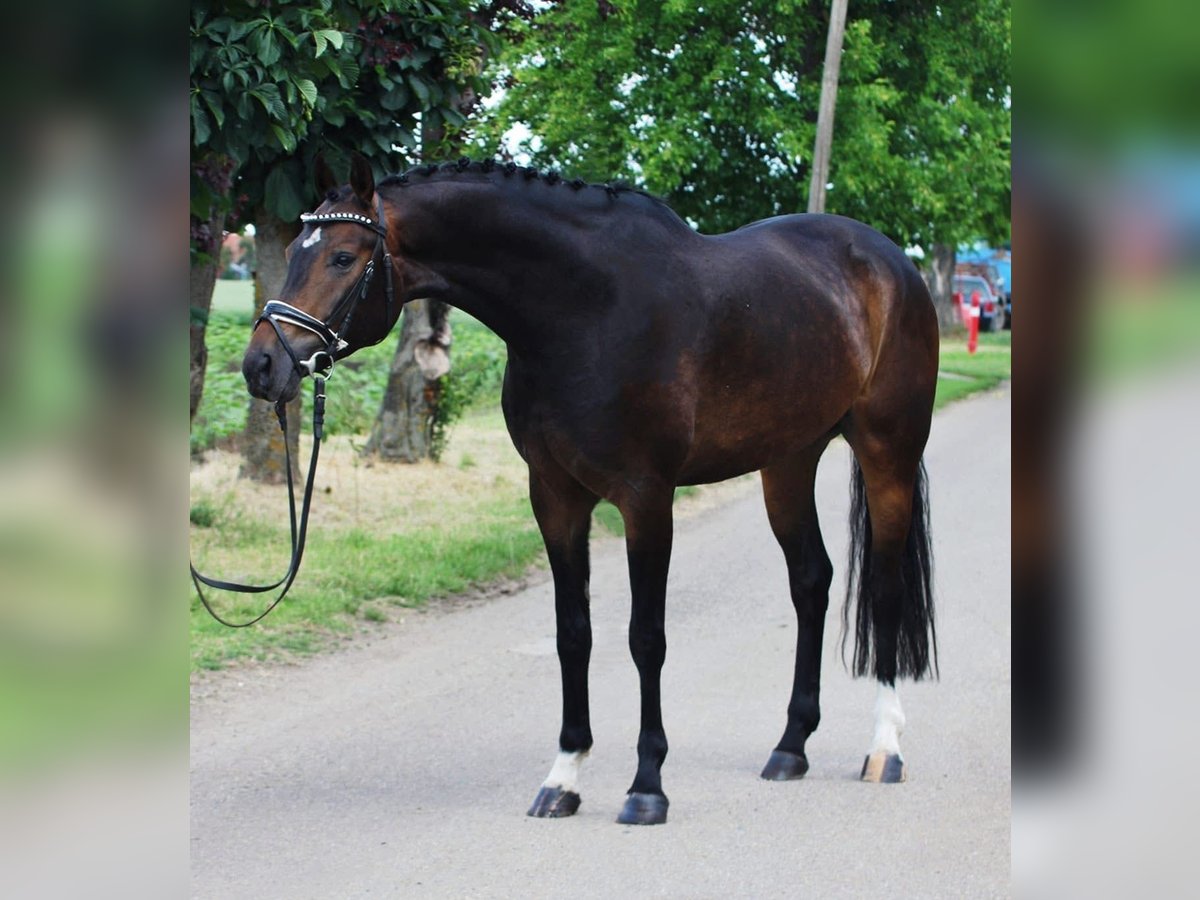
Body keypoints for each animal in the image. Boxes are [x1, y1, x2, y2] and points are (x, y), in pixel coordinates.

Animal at [242, 154, 939, 825]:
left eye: (342, 256)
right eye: (295, 248)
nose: (261, 366)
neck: (584, 310)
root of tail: (892, 261)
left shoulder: (646, 499)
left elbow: (646, 637)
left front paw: (647, 787)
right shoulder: (554, 496)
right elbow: (572, 633)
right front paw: (563, 779)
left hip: (887, 452)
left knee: (883, 586)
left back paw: (885, 748)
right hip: (788, 463)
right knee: (811, 582)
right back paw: (790, 747)